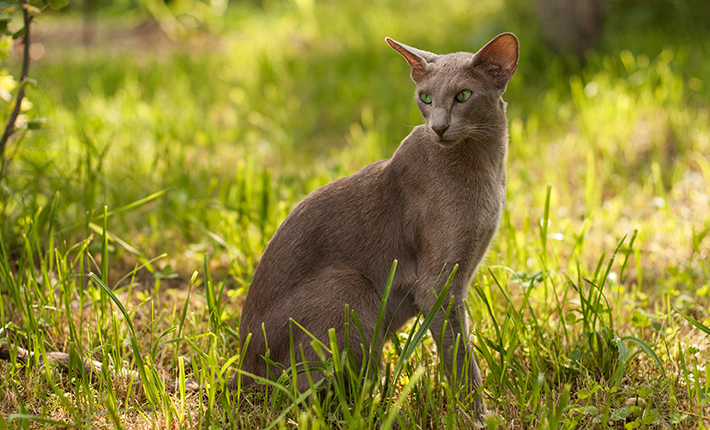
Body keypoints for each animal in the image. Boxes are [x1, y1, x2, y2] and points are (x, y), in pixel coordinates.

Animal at [236, 32, 520, 420]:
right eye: (425, 98)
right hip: (350, 288)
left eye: (463, 96)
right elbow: (461, 357)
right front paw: (478, 417)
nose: (438, 127)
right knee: (303, 396)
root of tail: (240, 374)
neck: (488, 167)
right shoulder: (439, 286)